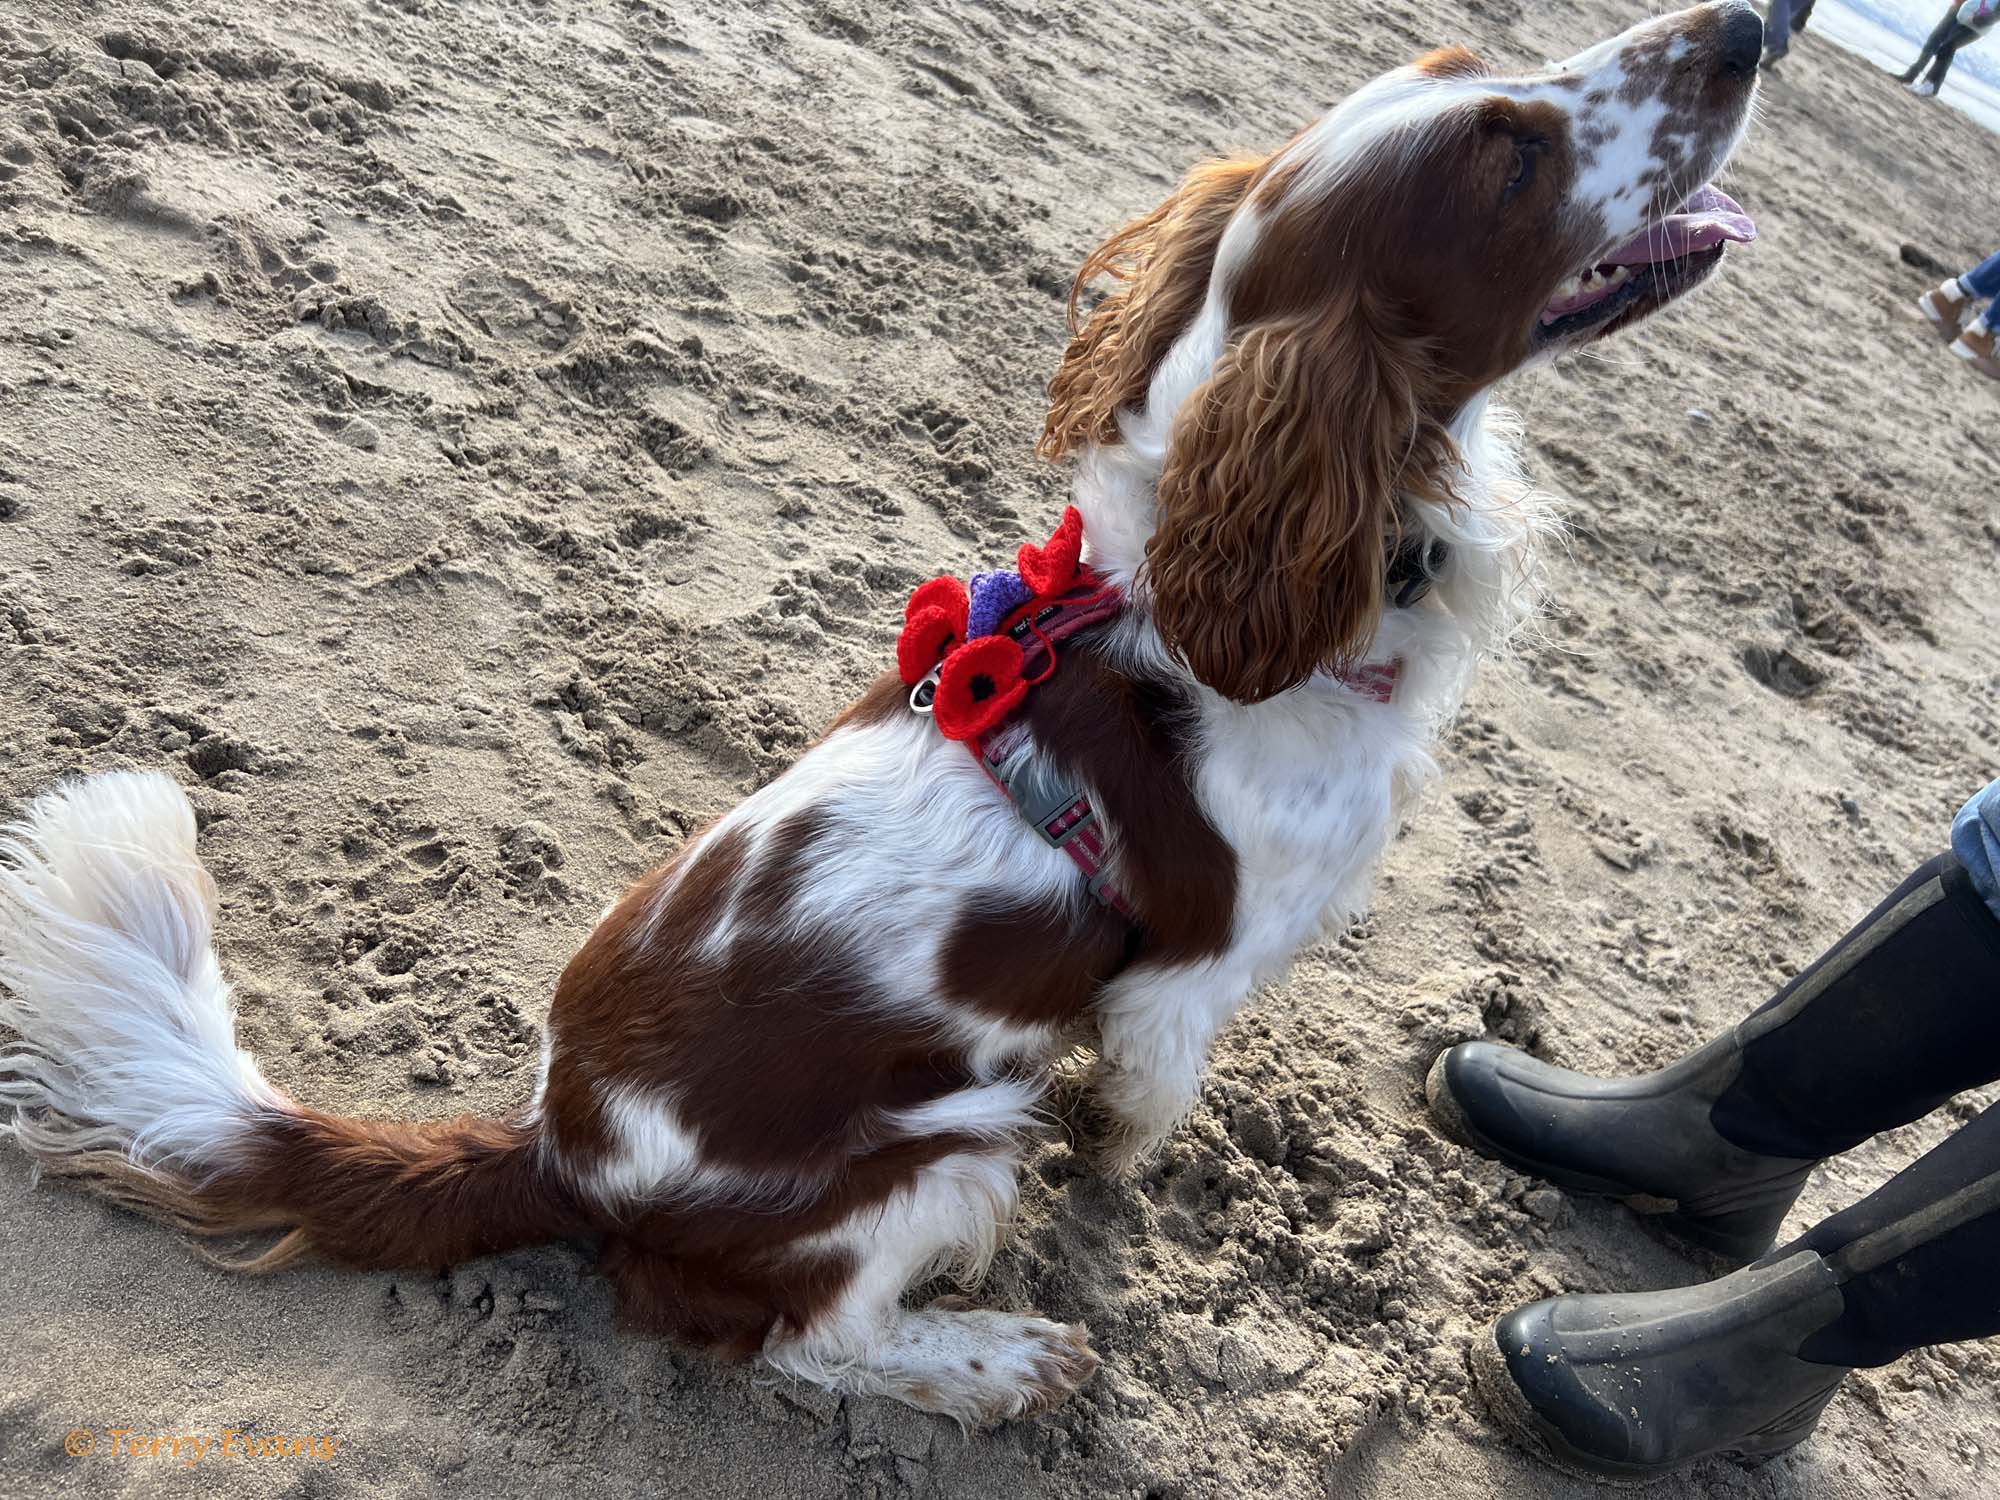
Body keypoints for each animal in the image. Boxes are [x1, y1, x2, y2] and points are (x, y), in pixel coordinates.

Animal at [0, 3, 1760, 1427]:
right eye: (1510, 155)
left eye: (1476, 72)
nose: (1747, 24)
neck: (1204, 591)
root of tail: (554, 1150)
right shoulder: (1187, 985)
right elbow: (1142, 1114)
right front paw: (1132, 1184)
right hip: (947, 1145)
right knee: (793, 1337)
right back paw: (990, 1363)